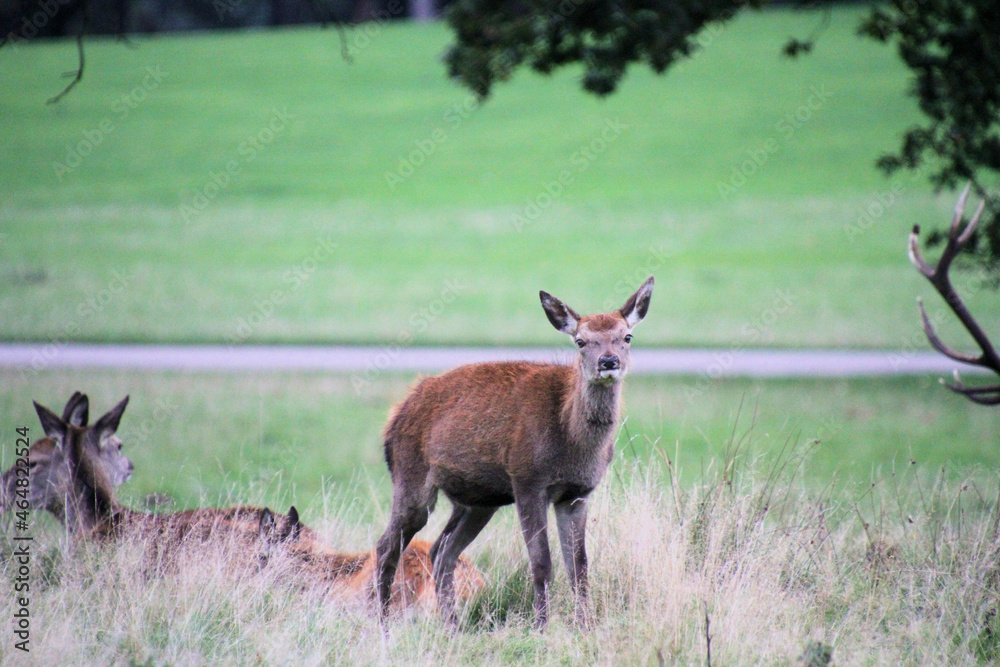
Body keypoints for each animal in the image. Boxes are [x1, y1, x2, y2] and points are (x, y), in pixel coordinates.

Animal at [374, 276, 655, 629]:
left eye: (626, 337)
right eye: (580, 341)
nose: (608, 361)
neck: (571, 441)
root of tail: (394, 418)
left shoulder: (577, 494)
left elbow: (579, 566)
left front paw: (584, 626)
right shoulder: (527, 480)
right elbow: (542, 563)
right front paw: (541, 627)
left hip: (478, 501)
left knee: (441, 551)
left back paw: (452, 627)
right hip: (411, 477)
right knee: (386, 547)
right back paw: (382, 624)